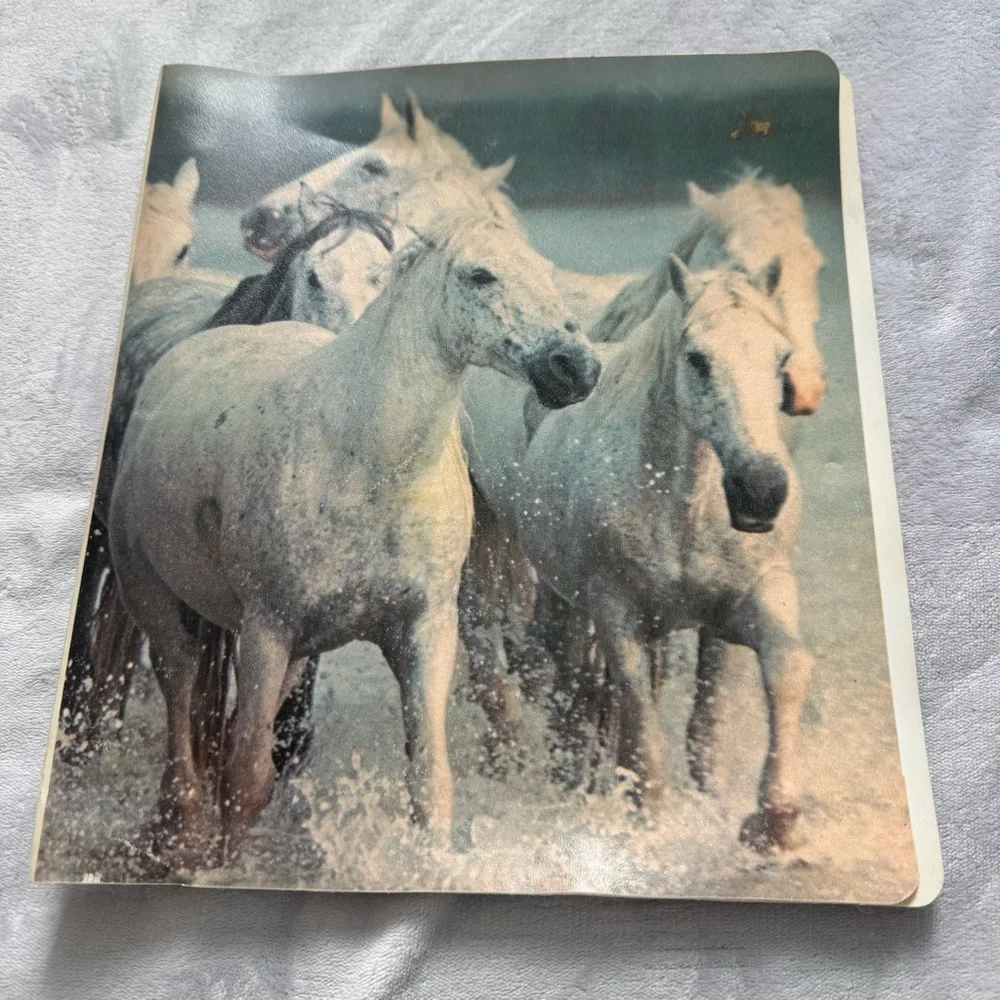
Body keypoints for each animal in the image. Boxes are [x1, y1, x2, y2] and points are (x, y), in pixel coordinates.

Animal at [108, 170, 602, 870]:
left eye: (543, 270)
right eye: (480, 275)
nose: (576, 368)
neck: (367, 460)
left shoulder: (423, 630)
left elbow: (427, 778)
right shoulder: (266, 629)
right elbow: (246, 774)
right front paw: (224, 862)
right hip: (153, 595)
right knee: (179, 687)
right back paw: (181, 821)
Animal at [463, 257, 813, 853]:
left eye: (780, 359)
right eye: (697, 359)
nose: (761, 488)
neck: (681, 509)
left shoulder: (745, 601)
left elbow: (779, 672)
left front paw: (774, 821)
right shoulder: (618, 615)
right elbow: (639, 716)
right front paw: (647, 814)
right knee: (492, 643)